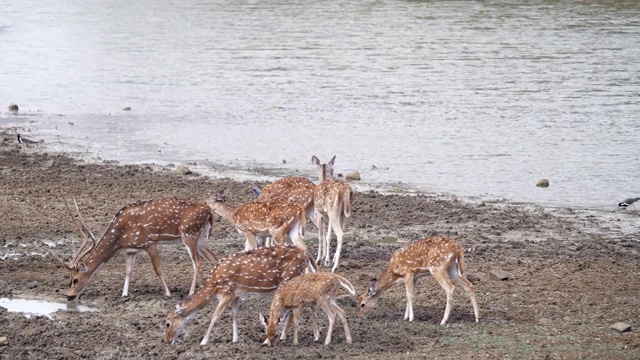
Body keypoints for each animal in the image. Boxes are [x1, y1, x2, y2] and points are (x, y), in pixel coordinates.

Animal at [57, 195, 218, 300]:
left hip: (189, 233)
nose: (69, 296)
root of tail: (209, 211)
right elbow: (128, 271)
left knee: (198, 262)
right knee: (214, 258)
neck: (120, 239)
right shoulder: (131, 249)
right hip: (199, 237)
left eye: (75, 279)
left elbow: (158, 269)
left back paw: (191, 293)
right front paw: (124, 294)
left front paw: (167, 293)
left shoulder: (149, 242)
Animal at [164, 243, 316, 344]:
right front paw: (235, 339)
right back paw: (290, 336)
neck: (214, 286)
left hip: (290, 278)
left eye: (167, 324)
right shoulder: (236, 294)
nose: (167, 340)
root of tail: (306, 255)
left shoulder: (227, 292)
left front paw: (204, 341)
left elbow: (215, 316)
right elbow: (235, 314)